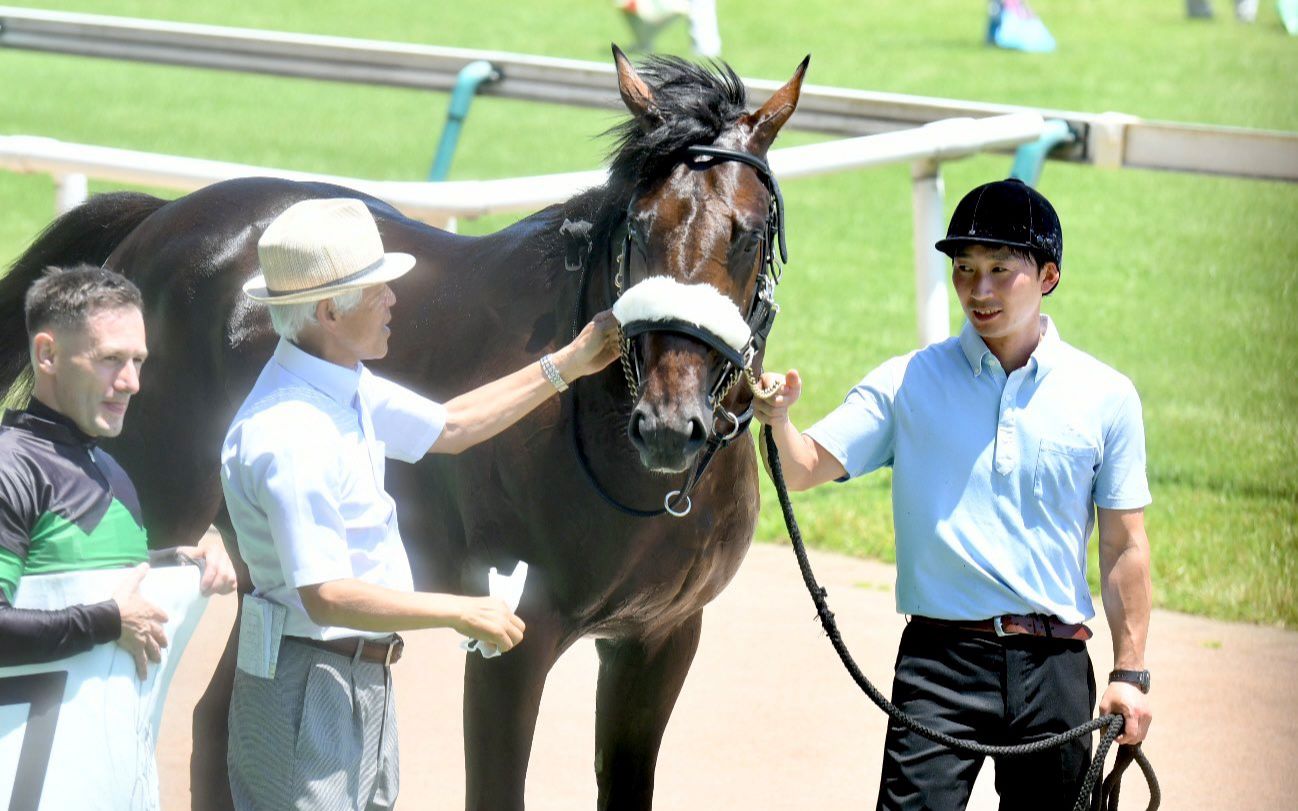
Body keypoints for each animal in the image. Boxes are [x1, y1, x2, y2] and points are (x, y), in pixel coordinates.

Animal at [0, 50, 804, 809]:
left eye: (748, 233)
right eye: (640, 227)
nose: (670, 424)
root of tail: (160, 219)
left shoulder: (659, 639)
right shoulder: (513, 636)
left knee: (217, 724)